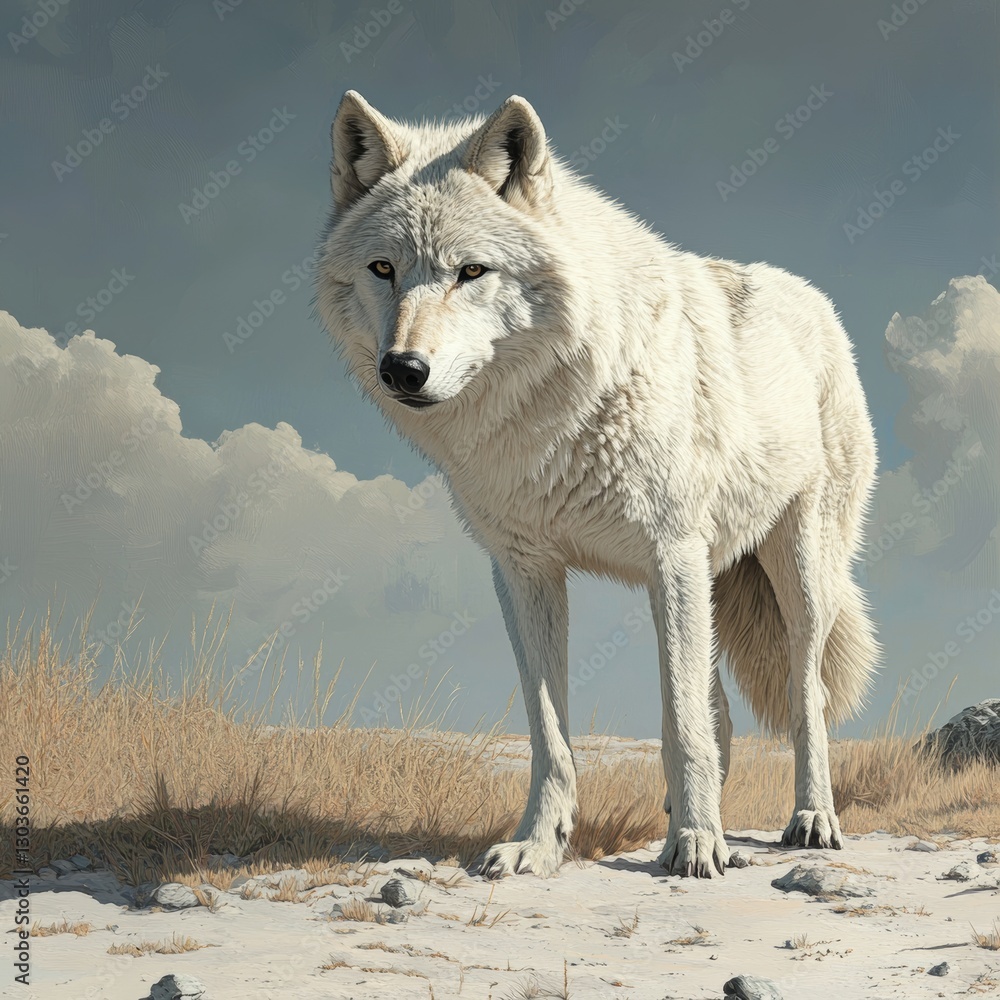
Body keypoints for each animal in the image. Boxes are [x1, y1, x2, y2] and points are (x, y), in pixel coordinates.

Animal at [315, 91, 880, 880]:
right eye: (382, 268)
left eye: (471, 271)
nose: (403, 369)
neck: (545, 420)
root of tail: (812, 297)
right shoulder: (526, 573)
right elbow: (551, 733)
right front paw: (538, 844)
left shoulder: (671, 556)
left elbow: (681, 723)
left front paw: (696, 844)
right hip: (702, 581)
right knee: (720, 708)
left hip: (795, 574)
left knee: (807, 694)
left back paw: (810, 819)